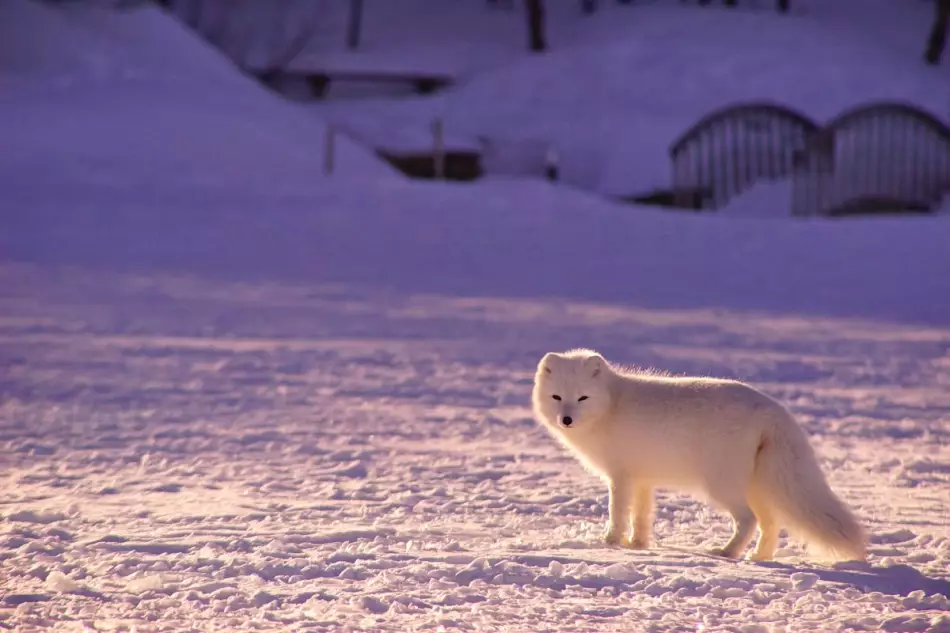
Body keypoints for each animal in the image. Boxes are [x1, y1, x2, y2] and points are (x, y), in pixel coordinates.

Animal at [536, 348, 872, 560]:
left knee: (748, 520)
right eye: (557, 397)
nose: (566, 419)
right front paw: (638, 544)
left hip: (722, 486)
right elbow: (642, 515)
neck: (611, 405)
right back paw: (758, 557)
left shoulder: (621, 477)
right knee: (771, 524)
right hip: (758, 486)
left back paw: (728, 552)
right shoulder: (643, 478)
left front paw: (611, 542)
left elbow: (618, 513)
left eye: (582, 397)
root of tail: (773, 409)